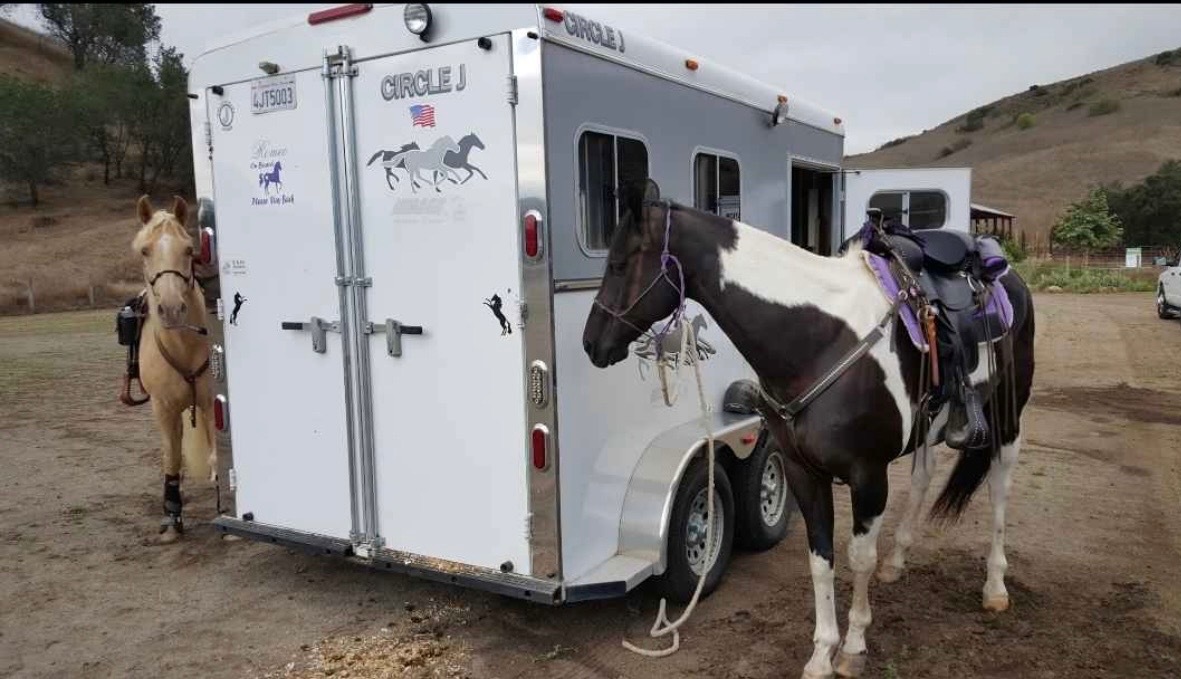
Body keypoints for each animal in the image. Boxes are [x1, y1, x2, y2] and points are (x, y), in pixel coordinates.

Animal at [582, 179, 1035, 679]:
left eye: (620, 263)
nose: (591, 342)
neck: (817, 338)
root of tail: (1004, 271)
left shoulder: (868, 474)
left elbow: (858, 557)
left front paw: (853, 647)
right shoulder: (802, 471)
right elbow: (821, 560)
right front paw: (821, 653)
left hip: (1008, 416)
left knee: (999, 488)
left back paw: (995, 587)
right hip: (928, 427)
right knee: (922, 476)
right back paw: (897, 561)